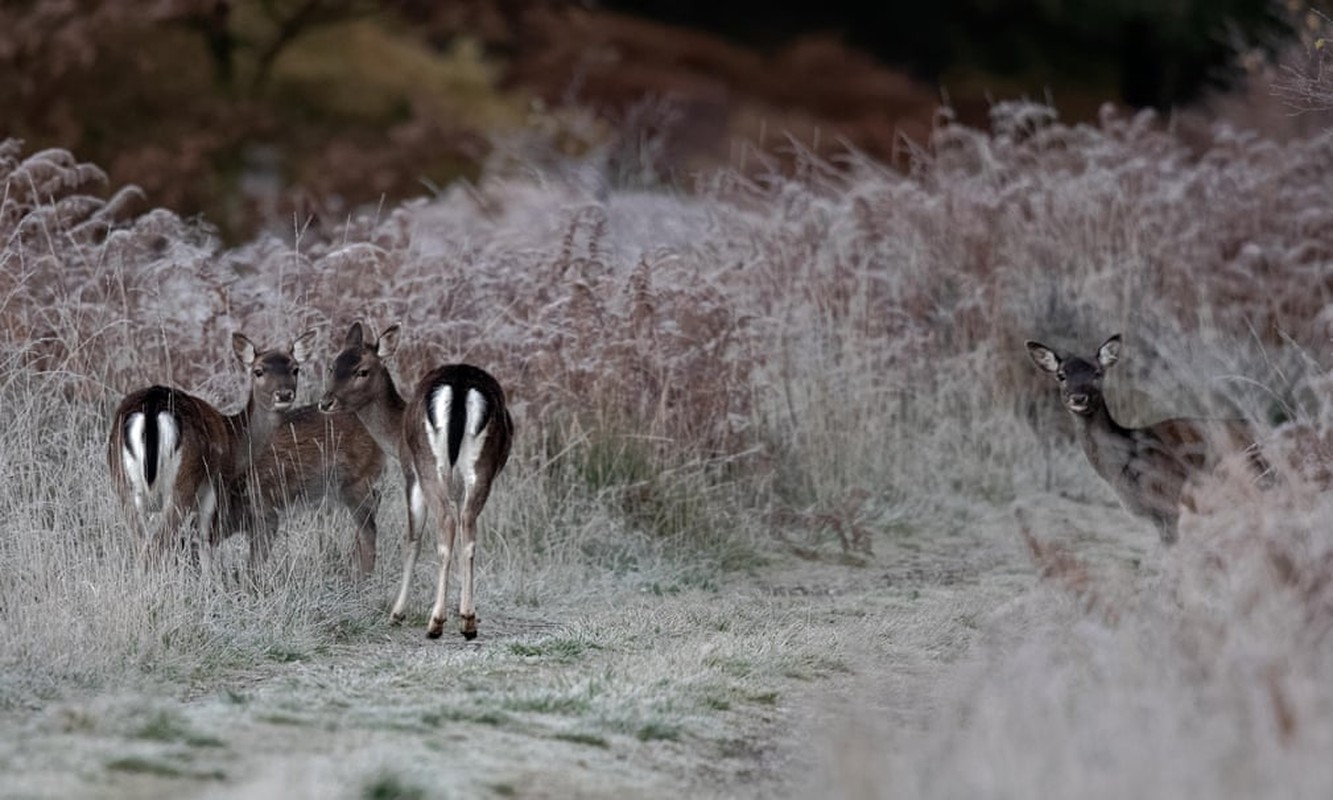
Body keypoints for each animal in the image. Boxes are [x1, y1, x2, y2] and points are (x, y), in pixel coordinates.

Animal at [107, 329, 315, 562]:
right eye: (258, 371)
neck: (235, 439)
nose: (284, 394)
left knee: (141, 544)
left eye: (295, 369)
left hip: (123, 482)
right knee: (158, 545)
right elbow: (205, 540)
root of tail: (152, 408)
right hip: (183, 482)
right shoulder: (218, 483)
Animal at [317, 321, 514, 640]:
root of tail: (460, 389)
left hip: (428, 464)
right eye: (334, 365)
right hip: (481, 468)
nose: (326, 402)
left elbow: (411, 538)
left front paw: (397, 613)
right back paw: (468, 621)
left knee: (446, 522)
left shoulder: (410, 472)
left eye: (362, 370)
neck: (395, 433)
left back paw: (435, 622)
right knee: (468, 526)